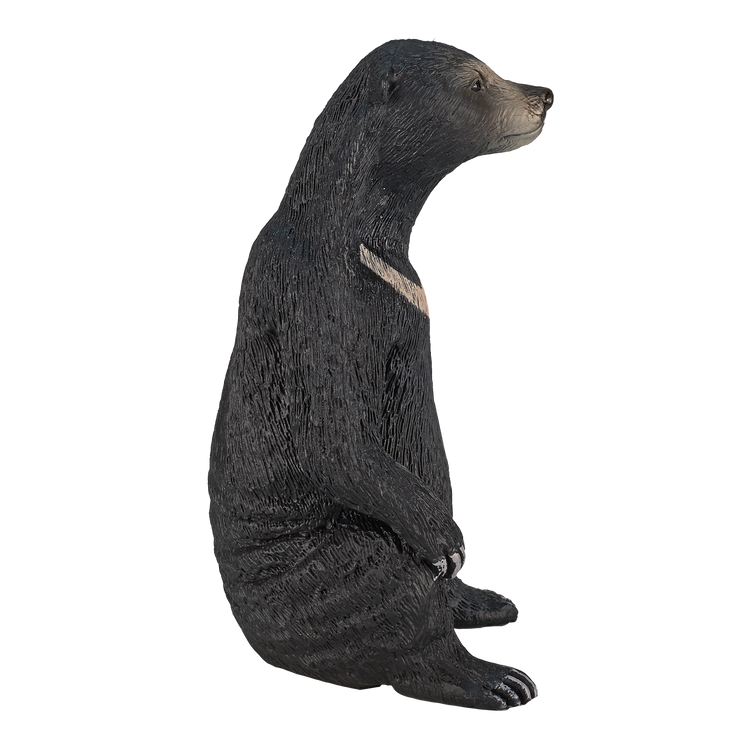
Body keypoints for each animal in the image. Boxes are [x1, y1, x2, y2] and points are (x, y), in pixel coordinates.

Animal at [207, 36, 554, 712]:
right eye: (477, 82)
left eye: (490, 68)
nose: (544, 95)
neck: (367, 240)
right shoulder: (316, 295)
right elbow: (331, 434)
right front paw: (445, 540)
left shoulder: (409, 303)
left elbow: (419, 426)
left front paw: (461, 559)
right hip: (321, 567)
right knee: (392, 589)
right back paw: (492, 678)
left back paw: (484, 601)